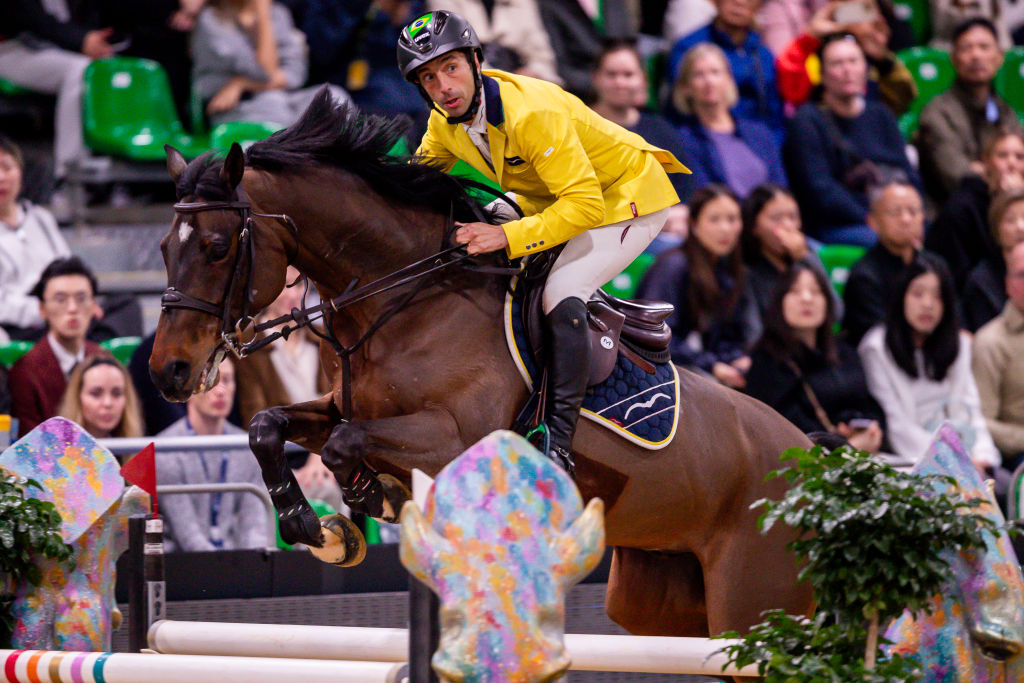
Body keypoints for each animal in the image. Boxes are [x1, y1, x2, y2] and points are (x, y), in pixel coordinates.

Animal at [149, 89, 815, 634]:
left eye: (216, 247)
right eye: (161, 248)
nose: (168, 372)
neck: (407, 301)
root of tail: (813, 456)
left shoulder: (453, 437)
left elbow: (344, 443)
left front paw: (369, 497)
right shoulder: (341, 405)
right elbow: (269, 427)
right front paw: (316, 529)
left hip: (751, 604)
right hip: (659, 598)